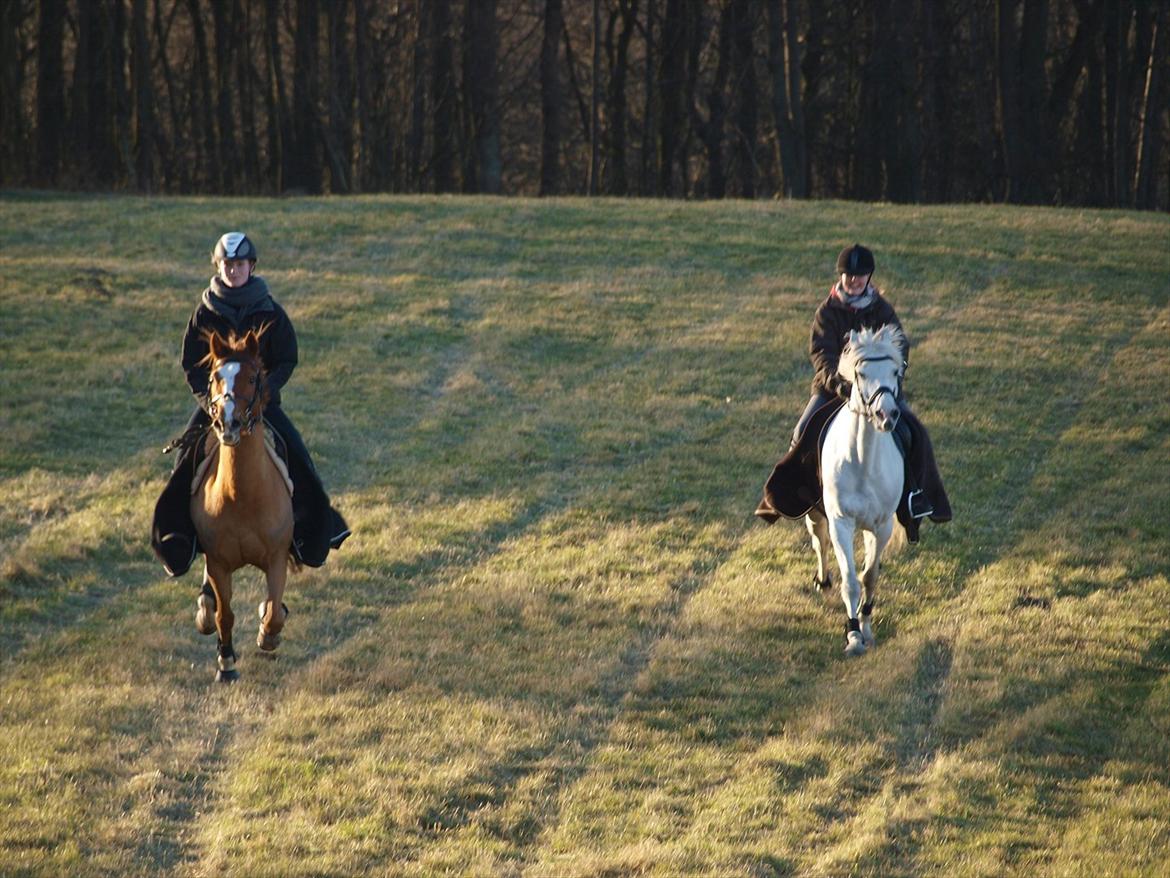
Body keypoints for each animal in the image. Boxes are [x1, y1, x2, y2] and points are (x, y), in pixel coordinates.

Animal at [190, 332, 292, 683]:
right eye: (214, 377)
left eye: (251, 377)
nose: (228, 422)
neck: (242, 498)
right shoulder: (219, 563)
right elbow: (225, 615)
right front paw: (226, 664)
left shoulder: (277, 557)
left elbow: (273, 611)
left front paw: (268, 635)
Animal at [809, 327, 907, 655]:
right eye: (861, 373)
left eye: (895, 371)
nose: (887, 415)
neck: (863, 462)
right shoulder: (841, 521)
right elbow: (851, 580)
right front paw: (852, 635)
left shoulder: (882, 525)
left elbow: (869, 577)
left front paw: (866, 628)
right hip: (816, 516)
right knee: (819, 541)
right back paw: (822, 580)